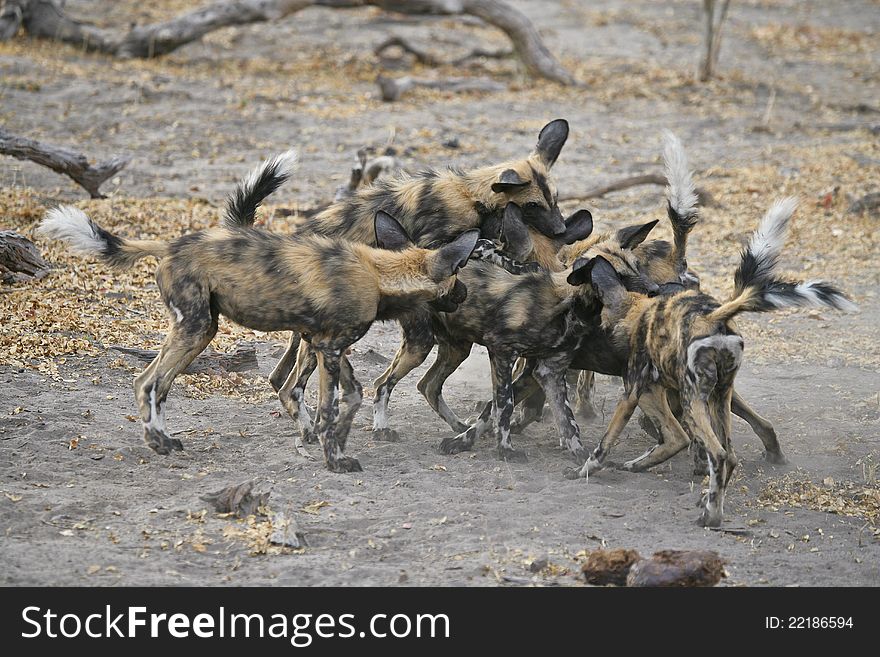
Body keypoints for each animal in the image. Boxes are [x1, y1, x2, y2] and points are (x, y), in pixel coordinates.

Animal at [37, 204, 482, 472]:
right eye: (458, 274)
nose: (464, 294)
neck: (379, 274)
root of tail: (174, 243)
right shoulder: (331, 347)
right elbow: (338, 404)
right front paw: (336, 460)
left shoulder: (325, 344)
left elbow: (341, 400)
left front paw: (327, 445)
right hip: (195, 327)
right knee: (147, 382)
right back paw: (159, 444)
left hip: (200, 330)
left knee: (152, 383)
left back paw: (166, 440)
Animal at [572, 197, 852, 524]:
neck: (635, 309)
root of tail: (713, 317)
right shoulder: (650, 390)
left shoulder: (634, 393)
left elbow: (605, 443)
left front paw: (585, 468)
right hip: (718, 396)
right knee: (731, 452)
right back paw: (715, 496)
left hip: (693, 399)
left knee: (714, 452)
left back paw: (711, 514)